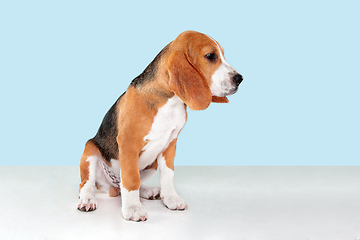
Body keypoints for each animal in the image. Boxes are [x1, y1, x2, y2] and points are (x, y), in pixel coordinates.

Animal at [77, 30, 243, 221]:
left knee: (130, 184)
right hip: (90, 152)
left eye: (223, 55)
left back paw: (148, 191)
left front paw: (170, 198)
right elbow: (131, 178)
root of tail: (112, 187)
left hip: (152, 164)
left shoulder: (170, 143)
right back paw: (87, 200)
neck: (170, 101)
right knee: (87, 184)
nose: (239, 78)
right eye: (211, 56)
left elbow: (167, 175)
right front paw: (133, 208)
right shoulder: (128, 143)